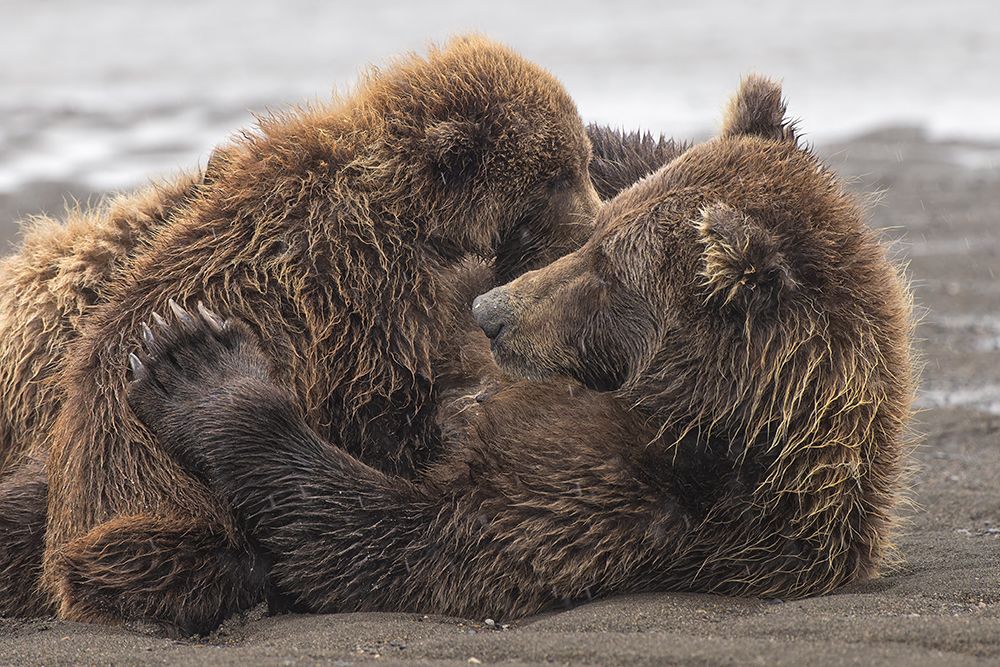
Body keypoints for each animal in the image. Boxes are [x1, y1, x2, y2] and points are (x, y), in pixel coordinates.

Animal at [30, 35, 609, 634]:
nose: (597, 224)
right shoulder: (357, 300)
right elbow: (386, 412)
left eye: (579, 162)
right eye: (555, 177)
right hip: (147, 492)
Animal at [125, 75, 916, 619]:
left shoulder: (618, 501)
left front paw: (195, 361)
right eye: (599, 237)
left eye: (610, 273)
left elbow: (404, 538)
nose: (489, 313)